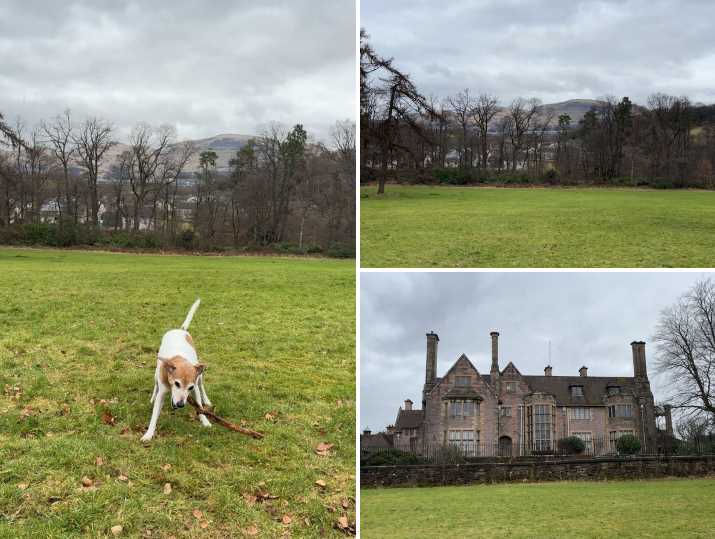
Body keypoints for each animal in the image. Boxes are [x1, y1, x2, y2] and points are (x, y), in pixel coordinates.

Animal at [141, 300, 213, 442]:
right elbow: (155, 413)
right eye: (177, 383)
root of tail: (180, 330)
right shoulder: (163, 390)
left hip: (199, 375)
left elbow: (199, 406)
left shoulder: (195, 387)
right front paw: (148, 434)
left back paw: (206, 400)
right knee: (155, 385)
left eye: (190, 387)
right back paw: (153, 397)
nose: (180, 404)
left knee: (202, 386)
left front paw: (205, 421)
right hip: (156, 373)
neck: (180, 359)